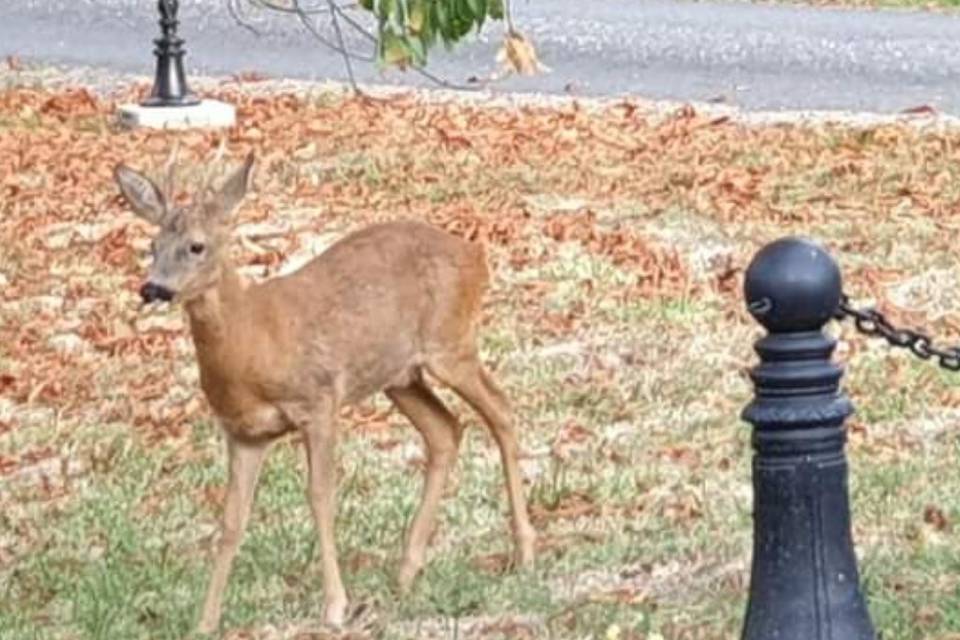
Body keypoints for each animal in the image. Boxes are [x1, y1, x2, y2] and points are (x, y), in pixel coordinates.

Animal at [110, 152, 540, 632]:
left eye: (196, 246)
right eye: (152, 246)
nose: (152, 288)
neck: (252, 340)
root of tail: (475, 254)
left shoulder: (318, 400)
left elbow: (320, 496)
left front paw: (335, 606)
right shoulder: (244, 432)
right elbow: (231, 521)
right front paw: (205, 622)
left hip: (451, 344)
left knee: (501, 410)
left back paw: (524, 551)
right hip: (400, 377)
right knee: (445, 430)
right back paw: (406, 571)